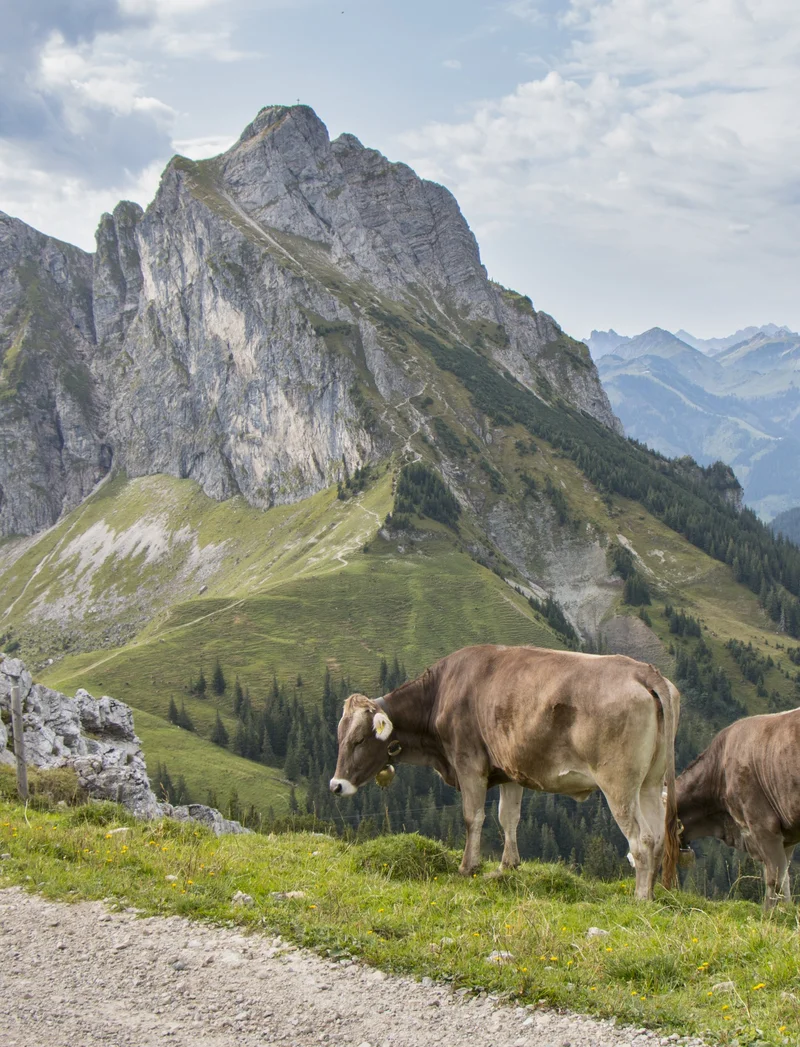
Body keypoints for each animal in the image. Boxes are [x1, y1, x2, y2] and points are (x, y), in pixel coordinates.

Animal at [330, 644, 680, 900]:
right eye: (339, 737)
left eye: (359, 739)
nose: (336, 785)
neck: (440, 694)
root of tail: (643, 671)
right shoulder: (510, 771)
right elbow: (508, 818)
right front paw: (507, 866)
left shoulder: (468, 763)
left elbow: (473, 817)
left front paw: (468, 867)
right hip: (651, 783)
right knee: (658, 836)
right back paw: (655, 894)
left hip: (619, 785)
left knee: (642, 839)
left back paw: (640, 898)